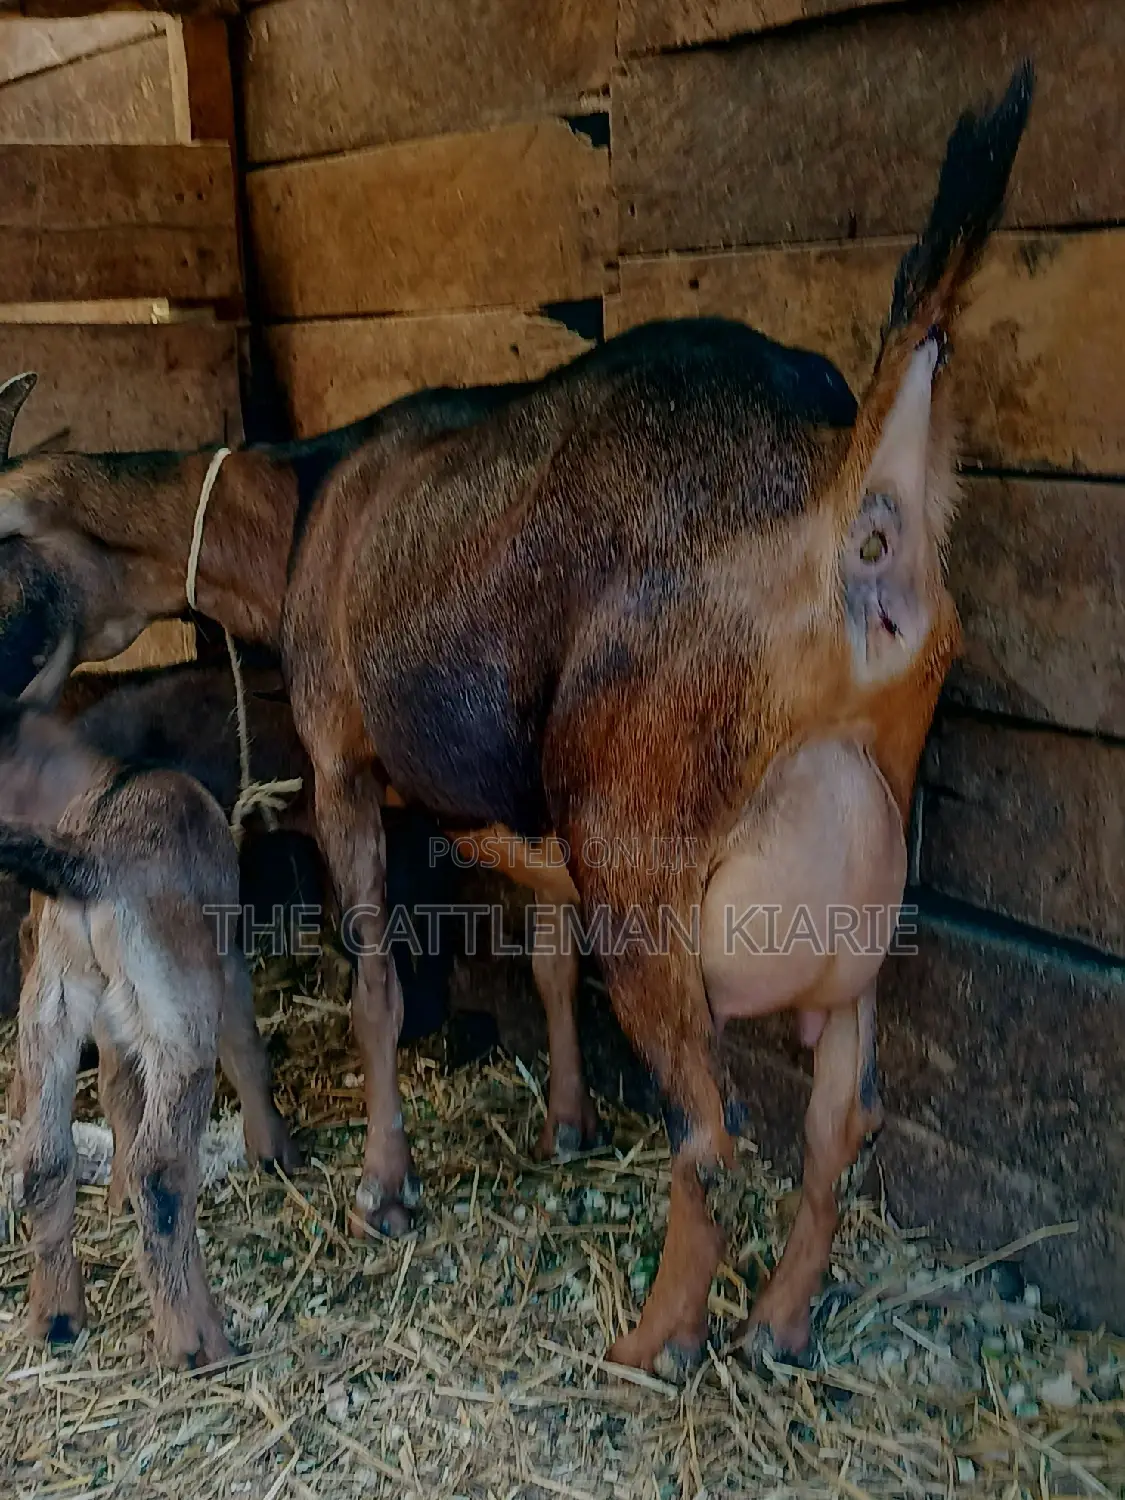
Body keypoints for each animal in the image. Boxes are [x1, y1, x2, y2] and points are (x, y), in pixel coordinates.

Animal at [0, 694, 281, 1365]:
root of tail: (87, 860)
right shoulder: (219, 960)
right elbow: (244, 1045)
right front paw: (272, 1148)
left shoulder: (108, 1019)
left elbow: (118, 1087)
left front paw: (117, 1192)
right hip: (178, 1009)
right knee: (164, 1170)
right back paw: (197, 1340)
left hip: (49, 1009)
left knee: (44, 1158)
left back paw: (55, 1317)